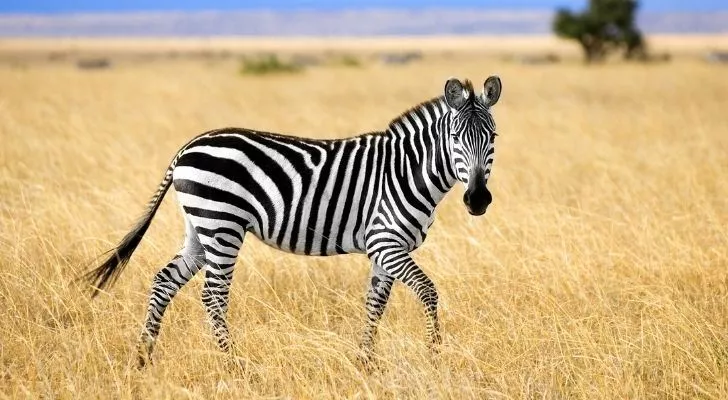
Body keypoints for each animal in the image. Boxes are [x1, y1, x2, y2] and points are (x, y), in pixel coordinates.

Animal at [79, 75, 500, 366]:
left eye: (492, 137)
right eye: (455, 138)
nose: (478, 200)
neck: (407, 170)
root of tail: (187, 146)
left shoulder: (385, 250)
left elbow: (375, 303)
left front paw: (366, 362)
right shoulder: (385, 241)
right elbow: (428, 291)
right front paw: (435, 355)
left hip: (200, 228)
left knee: (165, 281)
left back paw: (143, 357)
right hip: (223, 224)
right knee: (213, 295)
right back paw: (233, 364)